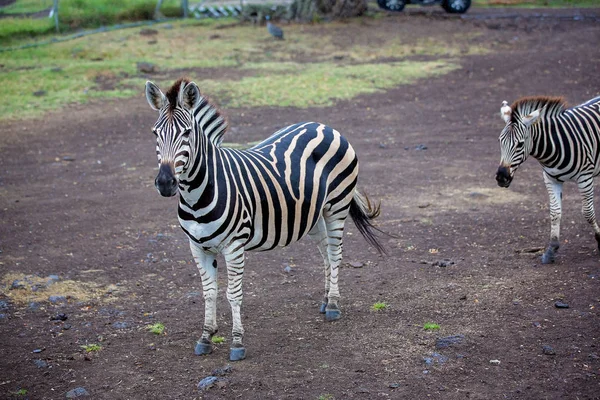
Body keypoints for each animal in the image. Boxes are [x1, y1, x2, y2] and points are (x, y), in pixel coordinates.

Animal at [144, 79, 384, 362]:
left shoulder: (234, 246)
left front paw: (237, 343)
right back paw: (326, 301)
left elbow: (233, 294)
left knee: (335, 253)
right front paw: (205, 337)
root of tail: (324, 126)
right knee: (326, 253)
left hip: (337, 205)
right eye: (155, 134)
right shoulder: (197, 246)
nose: (165, 183)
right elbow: (209, 292)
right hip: (313, 214)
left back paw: (334, 305)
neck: (197, 196)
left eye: (187, 133)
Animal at [494, 95, 600, 264]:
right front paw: (551, 249)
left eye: (520, 144)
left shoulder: (585, 177)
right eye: (499, 141)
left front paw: (599, 238)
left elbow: (588, 213)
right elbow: (555, 212)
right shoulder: (551, 178)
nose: (501, 177)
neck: (554, 146)